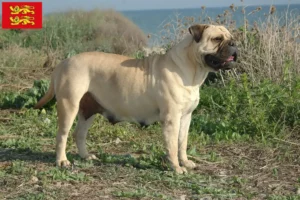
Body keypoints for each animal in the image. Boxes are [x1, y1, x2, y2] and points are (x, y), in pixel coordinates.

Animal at [34, 23, 237, 173]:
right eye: (217, 39)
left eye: (231, 38)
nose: (234, 44)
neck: (191, 69)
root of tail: (64, 62)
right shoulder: (171, 119)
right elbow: (172, 145)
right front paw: (176, 168)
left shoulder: (186, 117)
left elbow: (182, 142)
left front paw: (185, 162)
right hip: (69, 106)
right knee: (62, 135)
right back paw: (62, 161)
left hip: (88, 110)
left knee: (79, 133)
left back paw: (86, 156)